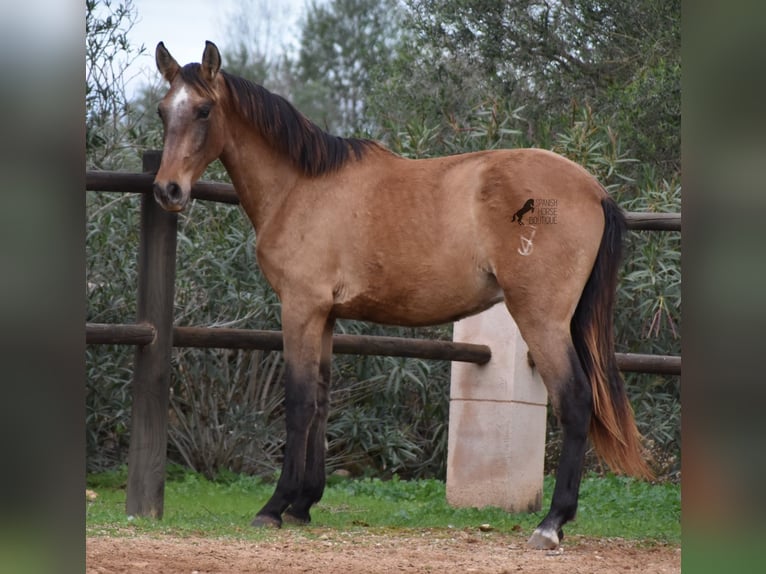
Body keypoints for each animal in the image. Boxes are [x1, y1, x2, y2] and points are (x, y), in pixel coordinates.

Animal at [152, 42, 656, 552]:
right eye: (162, 110)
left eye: (204, 110)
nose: (167, 190)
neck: (301, 187)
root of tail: (594, 190)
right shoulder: (326, 316)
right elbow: (321, 402)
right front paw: (302, 505)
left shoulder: (300, 308)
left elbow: (298, 404)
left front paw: (274, 507)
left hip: (540, 319)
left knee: (575, 400)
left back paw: (550, 524)